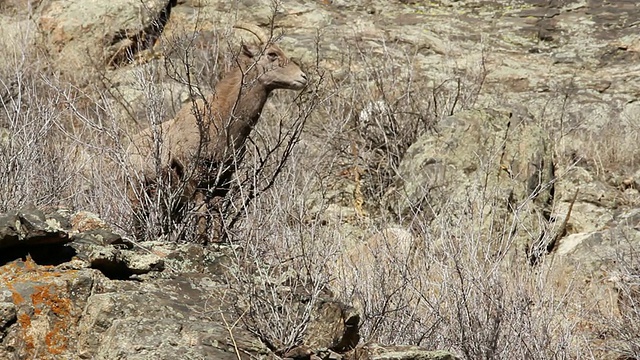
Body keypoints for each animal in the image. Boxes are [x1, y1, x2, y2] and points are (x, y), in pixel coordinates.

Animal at [127, 23, 308, 240]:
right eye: (272, 54)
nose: (303, 78)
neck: (220, 123)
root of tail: (130, 146)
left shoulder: (224, 179)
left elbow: (217, 210)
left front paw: (214, 241)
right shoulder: (195, 176)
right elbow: (202, 209)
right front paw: (201, 240)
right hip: (138, 191)